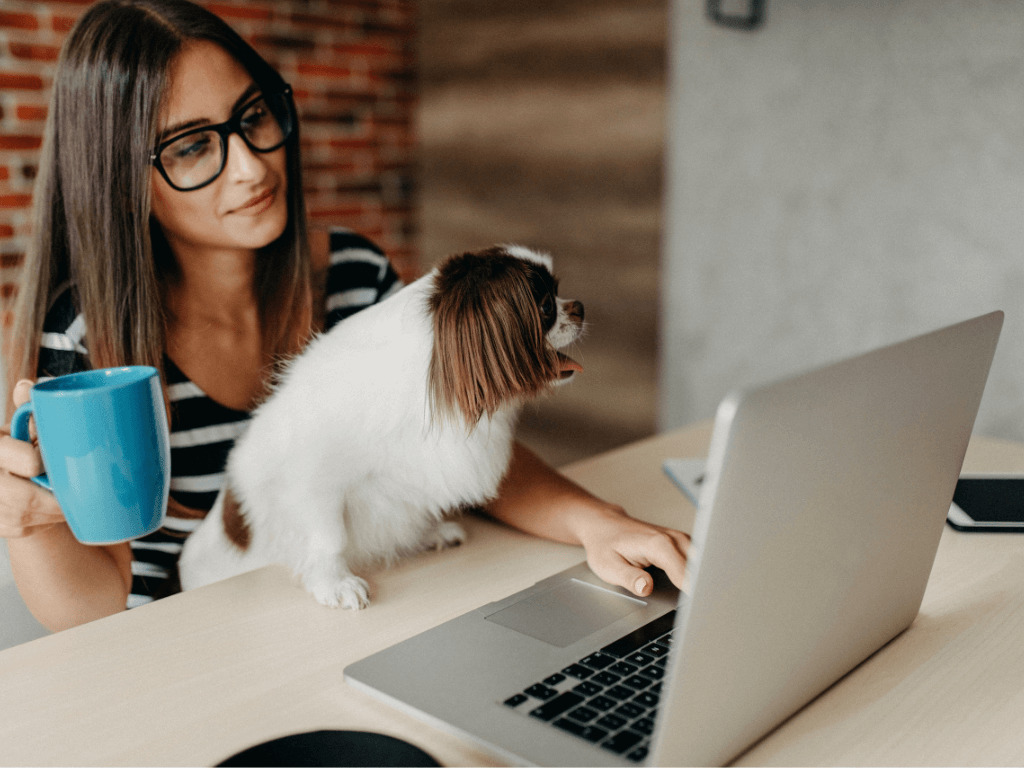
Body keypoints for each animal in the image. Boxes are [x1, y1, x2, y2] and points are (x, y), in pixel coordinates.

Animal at [178, 244, 585, 606]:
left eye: (560, 292)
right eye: (546, 307)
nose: (579, 307)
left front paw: (428, 533)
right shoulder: (312, 482)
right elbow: (330, 538)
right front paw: (336, 583)